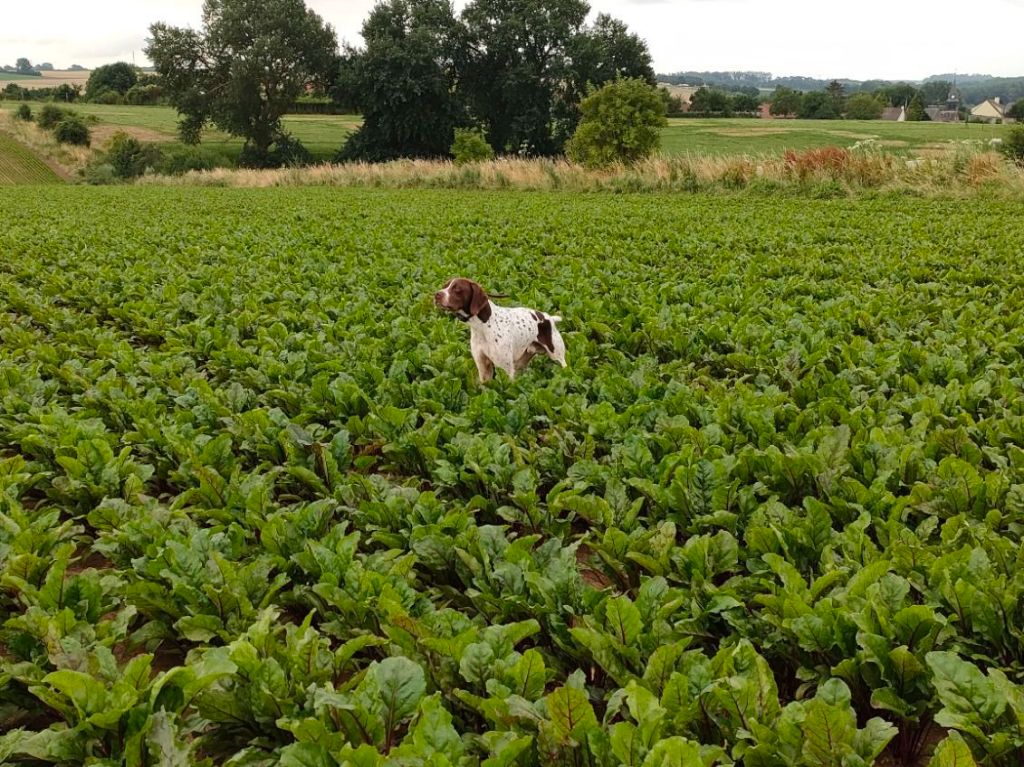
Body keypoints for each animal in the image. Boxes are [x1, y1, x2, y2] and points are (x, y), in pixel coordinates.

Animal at [434, 276, 569, 380]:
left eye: (457, 288)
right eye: (445, 286)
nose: (437, 294)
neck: (482, 326)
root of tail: (549, 318)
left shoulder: (505, 368)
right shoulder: (484, 368)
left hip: (558, 357)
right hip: (520, 363)